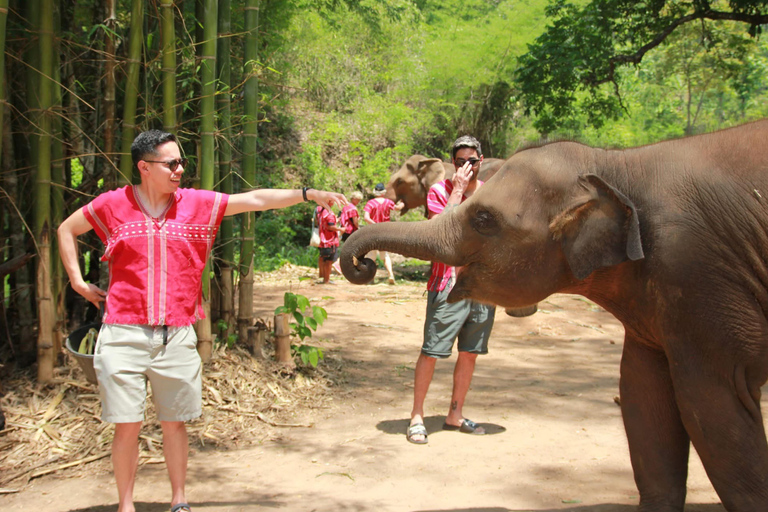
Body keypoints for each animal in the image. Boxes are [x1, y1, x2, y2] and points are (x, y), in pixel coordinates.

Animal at [341, 119, 768, 511]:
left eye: (483, 219)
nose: (364, 264)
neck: (615, 166)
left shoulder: (696, 272)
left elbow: (713, 410)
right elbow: (642, 395)